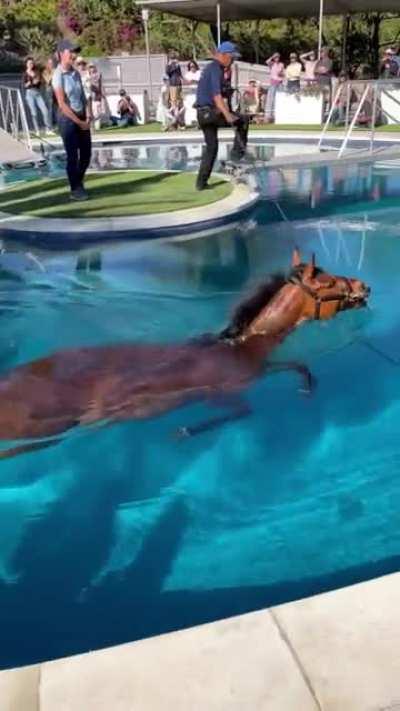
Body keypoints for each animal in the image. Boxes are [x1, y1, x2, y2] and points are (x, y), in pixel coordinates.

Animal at [0, 248, 369, 459]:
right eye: (330, 283)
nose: (364, 287)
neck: (240, 348)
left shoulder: (260, 369)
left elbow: (296, 365)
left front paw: (306, 385)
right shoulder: (225, 394)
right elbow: (243, 412)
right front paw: (184, 432)